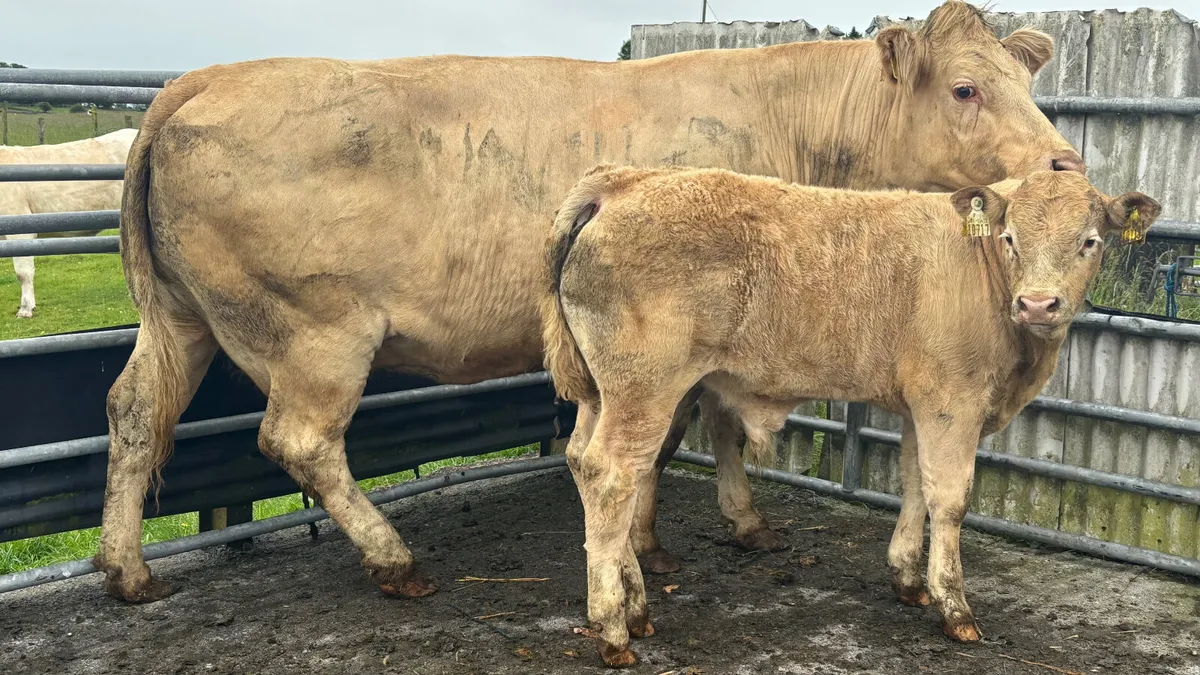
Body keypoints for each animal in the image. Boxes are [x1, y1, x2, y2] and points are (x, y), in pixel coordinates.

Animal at [95, 0, 1085, 605]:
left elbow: (705, 430)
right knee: (300, 439)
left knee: (135, 410)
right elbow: (685, 430)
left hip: (180, 318)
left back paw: (127, 567)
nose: (1063, 161)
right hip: (318, 331)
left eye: (1028, 83)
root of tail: (202, 78)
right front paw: (654, 544)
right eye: (966, 87)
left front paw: (703, 530)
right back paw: (393, 558)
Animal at [542, 164, 1159, 666]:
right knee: (614, 478)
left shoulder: (919, 406)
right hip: (645, 390)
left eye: (1089, 241)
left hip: (602, 393)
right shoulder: (951, 402)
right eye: (1010, 238)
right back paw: (614, 628)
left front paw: (908, 577)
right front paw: (954, 606)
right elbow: (950, 498)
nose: (1037, 304)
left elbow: (914, 483)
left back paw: (636, 607)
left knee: (582, 462)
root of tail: (625, 181)